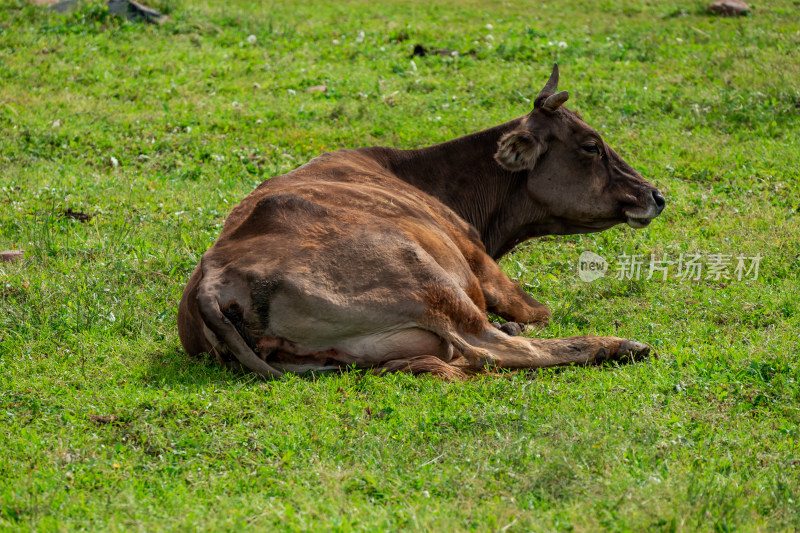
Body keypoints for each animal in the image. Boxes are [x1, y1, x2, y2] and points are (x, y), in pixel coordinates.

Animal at [178, 65, 664, 378]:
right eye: (591, 146)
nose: (656, 196)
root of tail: (214, 277)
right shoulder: (481, 264)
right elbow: (539, 312)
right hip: (427, 281)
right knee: (497, 349)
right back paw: (617, 346)